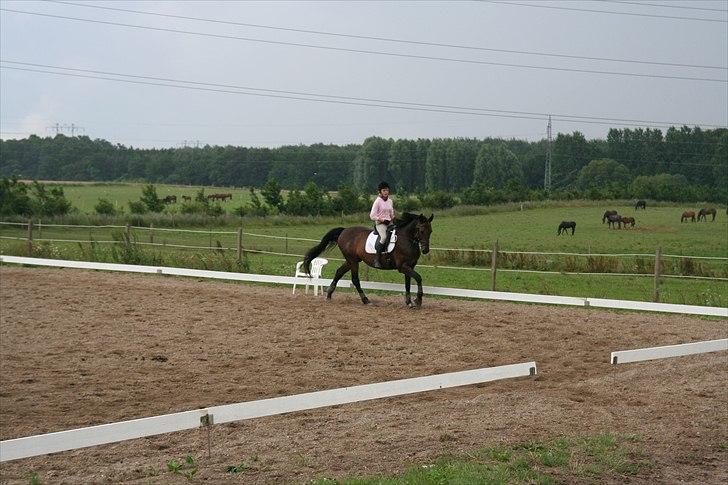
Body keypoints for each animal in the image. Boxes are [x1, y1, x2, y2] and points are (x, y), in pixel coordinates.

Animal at [302, 211, 432, 306]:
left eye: (430, 231)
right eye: (421, 230)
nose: (425, 250)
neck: (406, 239)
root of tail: (344, 230)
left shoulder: (409, 266)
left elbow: (408, 283)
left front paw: (409, 302)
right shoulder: (403, 267)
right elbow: (418, 278)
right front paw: (418, 300)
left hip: (351, 261)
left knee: (339, 272)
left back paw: (329, 295)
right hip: (353, 261)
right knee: (355, 280)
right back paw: (365, 300)